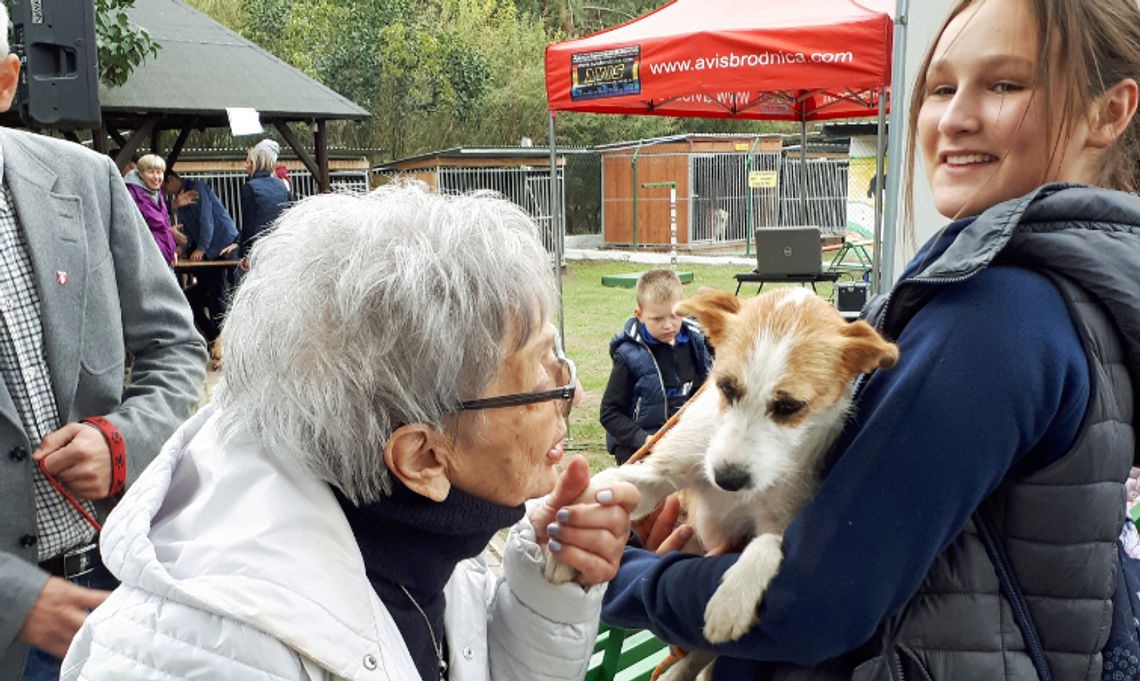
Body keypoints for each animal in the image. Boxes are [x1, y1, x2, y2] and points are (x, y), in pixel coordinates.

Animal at [547, 288, 893, 679]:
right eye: (726, 386)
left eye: (790, 407)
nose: (727, 479)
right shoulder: (663, 472)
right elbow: (607, 482)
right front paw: (562, 539)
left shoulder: (781, 519)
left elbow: (770, 542)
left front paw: (733, 599)